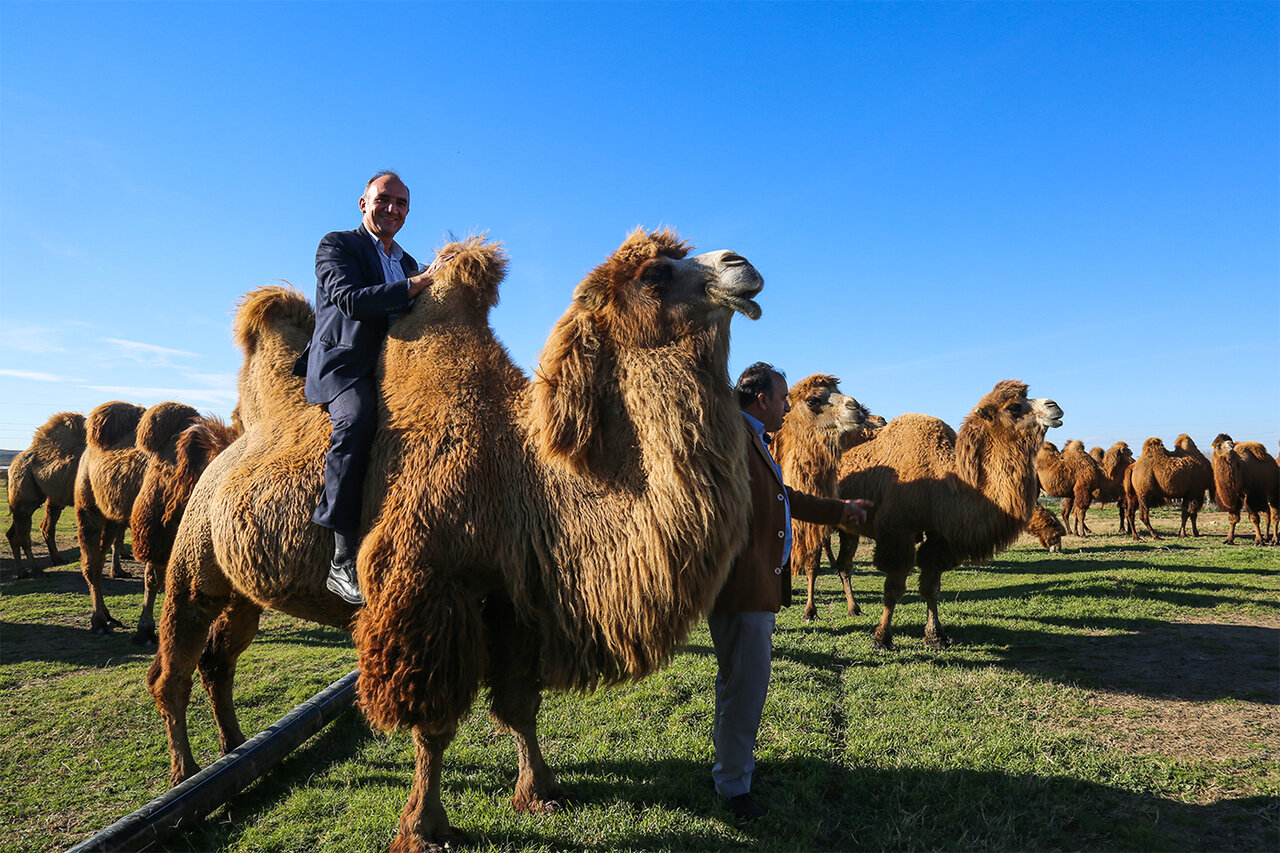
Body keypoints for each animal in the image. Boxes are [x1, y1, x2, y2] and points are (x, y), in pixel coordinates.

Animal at [152, 229, 768, 845]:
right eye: (655, 274)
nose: (742, 265)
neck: (519, 467)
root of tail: (222, 447)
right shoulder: (426, 589)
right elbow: (434, 723)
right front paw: (424, 827)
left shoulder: (511, 598)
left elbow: (520, 704)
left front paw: (540, 792)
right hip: (193, 559)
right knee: (175, 666)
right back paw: (183, 779)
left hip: (243, 591)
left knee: (218, 660)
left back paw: (233, 750)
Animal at [768, 371, 880, 617]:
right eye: (813, 400)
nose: (855, 407)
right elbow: (812, 564)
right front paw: (810, 610)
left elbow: (841, 565)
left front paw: (853, 606)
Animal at [829, 381, 1059, 648]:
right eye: (1013, 406)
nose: (1054, 406)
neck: (943, 476)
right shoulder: (898, 531)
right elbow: (894, 589)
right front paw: (882, 638)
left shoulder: (941, 536)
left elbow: (931, 586)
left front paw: (936, 635)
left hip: (849, 528)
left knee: (844, 564)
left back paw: (853, 608)